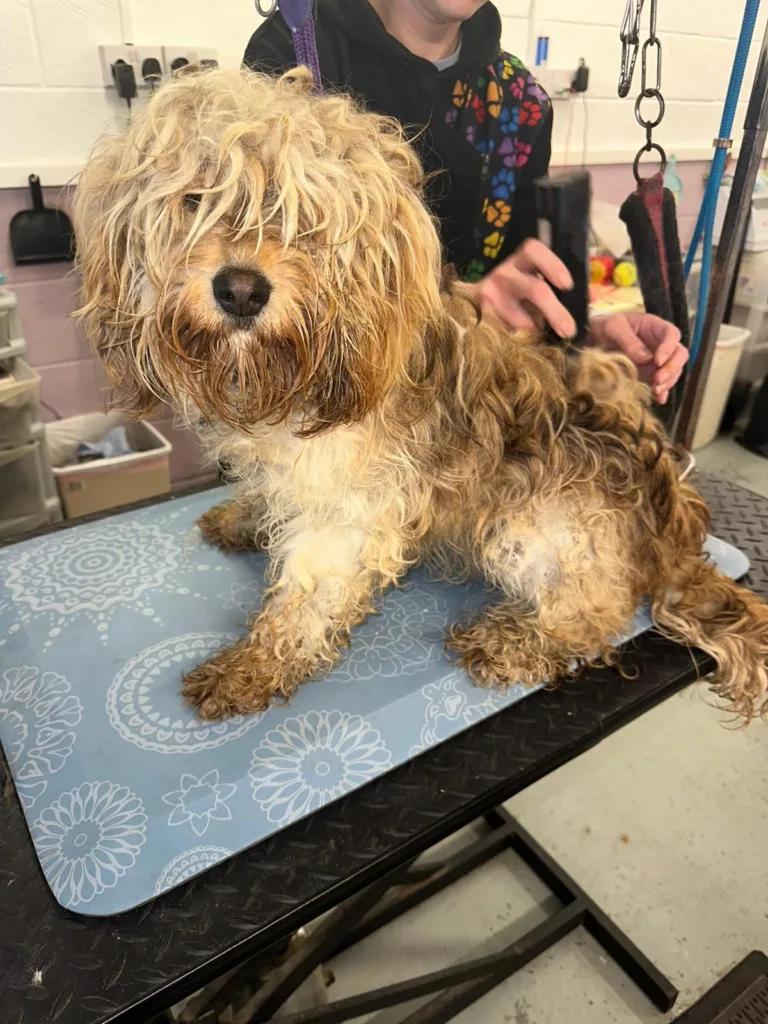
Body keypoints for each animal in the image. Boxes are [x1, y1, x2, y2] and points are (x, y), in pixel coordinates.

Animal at [75, 66, 768, 720]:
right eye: (196, 199)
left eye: (309, 218)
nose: (241, 290)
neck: (307, 366)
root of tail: (668, 521)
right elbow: (270, 499)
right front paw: (246, 517)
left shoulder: (353, 505)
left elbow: (309, 591)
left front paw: (257, 664)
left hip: (531, 523)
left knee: (600, 607)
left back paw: (517, 639)